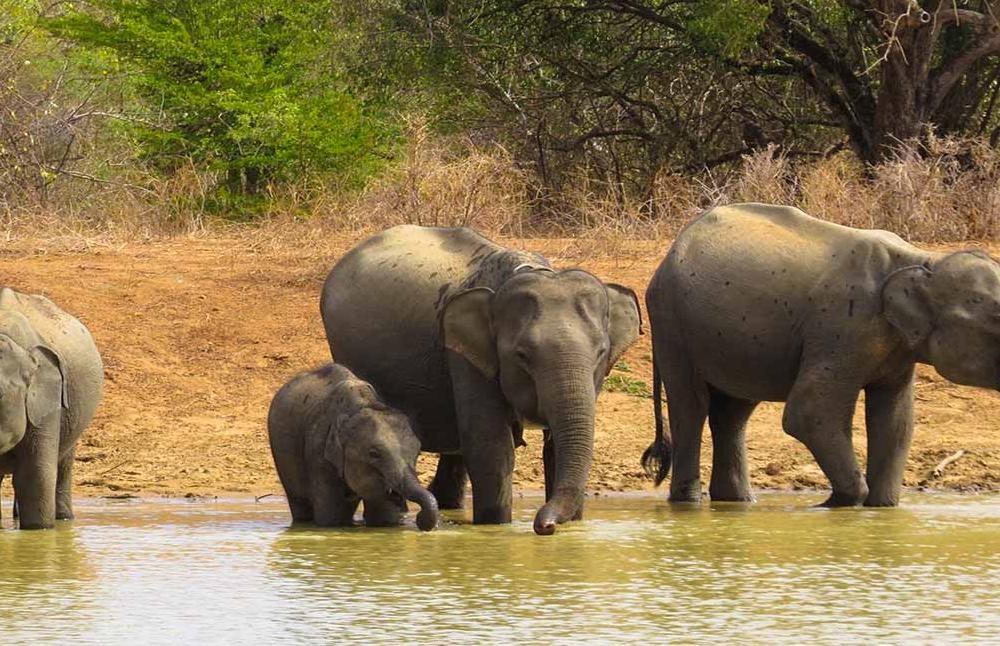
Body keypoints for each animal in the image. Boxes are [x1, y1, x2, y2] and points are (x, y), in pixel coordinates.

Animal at [267, 363, 439, 530]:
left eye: (417, 453)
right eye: (374, 453)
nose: (418, 519)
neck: (363, 405)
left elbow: (384, 516)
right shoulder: (318, 453)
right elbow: (332, 517)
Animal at [321, 225, 642, 534]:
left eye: (601, 352)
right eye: (522, 355)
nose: (544, 526)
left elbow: (555, 449)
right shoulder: (465, 353)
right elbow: (491, 447)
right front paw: (496, 527)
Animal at [642, 202, 1000, 508]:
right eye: (996, 323)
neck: (923, 260)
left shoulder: (897, 349)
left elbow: (895, 423)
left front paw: (882, 509)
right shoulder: (842, 326)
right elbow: (809, 412)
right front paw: (834, 504)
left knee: (733, 412)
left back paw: (737, 502)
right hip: (673, 324)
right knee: (691, 406)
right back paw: (689, 503)